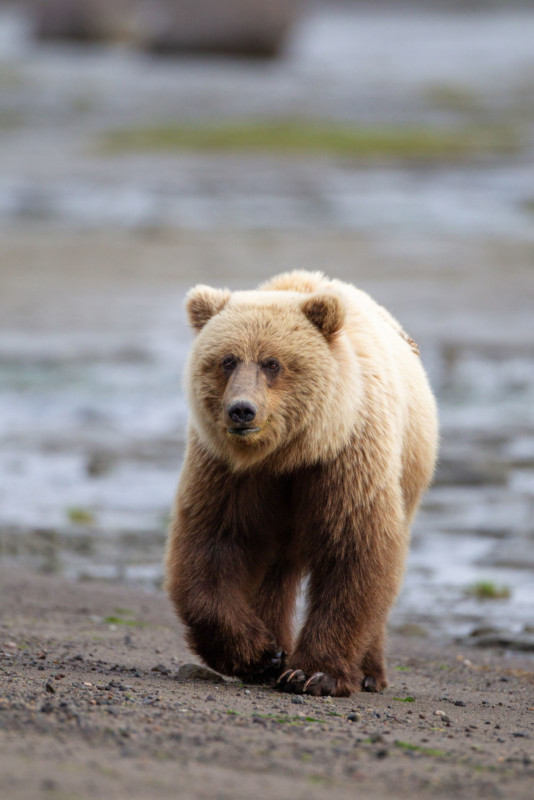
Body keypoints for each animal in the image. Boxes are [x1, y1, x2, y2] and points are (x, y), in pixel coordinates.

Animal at [168, 268, 440, 692]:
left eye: (272, 363)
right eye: (228, 360)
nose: (241, 410)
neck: (287, 455)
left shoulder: (345, 462)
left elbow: (354, 552)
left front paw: (313, 672)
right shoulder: (229, 472)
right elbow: (212, 543)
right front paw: (260, 654)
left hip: (408, 470)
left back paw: (370, 672)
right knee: (274, 570)